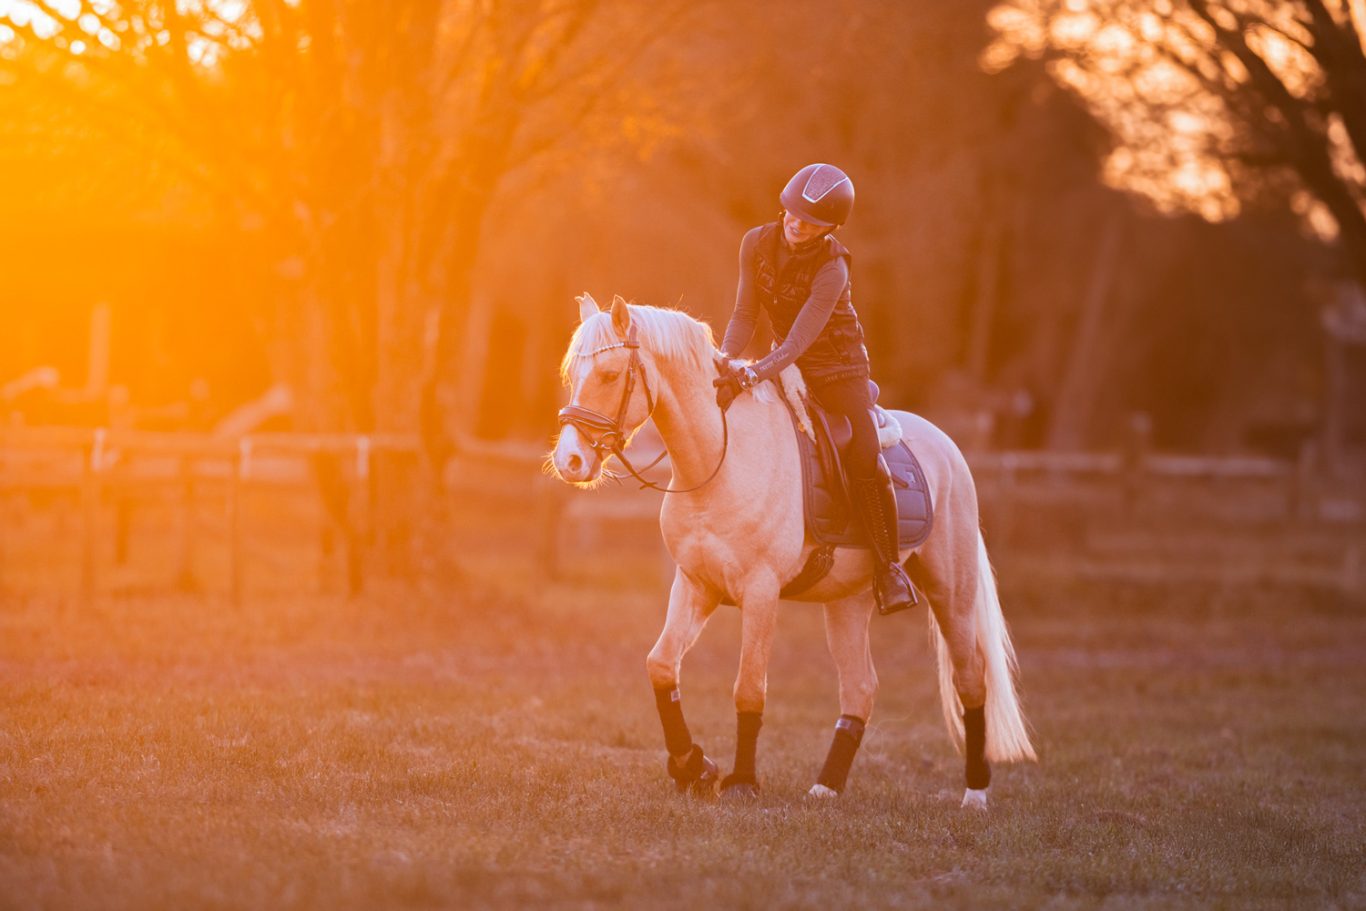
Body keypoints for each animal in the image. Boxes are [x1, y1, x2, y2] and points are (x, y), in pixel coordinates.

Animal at [550, 293, 1035, 808]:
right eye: (573, 375)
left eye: (609, 375)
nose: (570, 461)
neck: (720, 461)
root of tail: (949, 449)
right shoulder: (695, 585)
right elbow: (661, 666)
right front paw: (693, 767)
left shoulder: (760, 592)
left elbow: (749, 687)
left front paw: (741, 782)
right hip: (848, 603)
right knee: (860, 688)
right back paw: (826, 786)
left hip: (951, 593)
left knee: (971, 679)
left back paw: (975, 793)